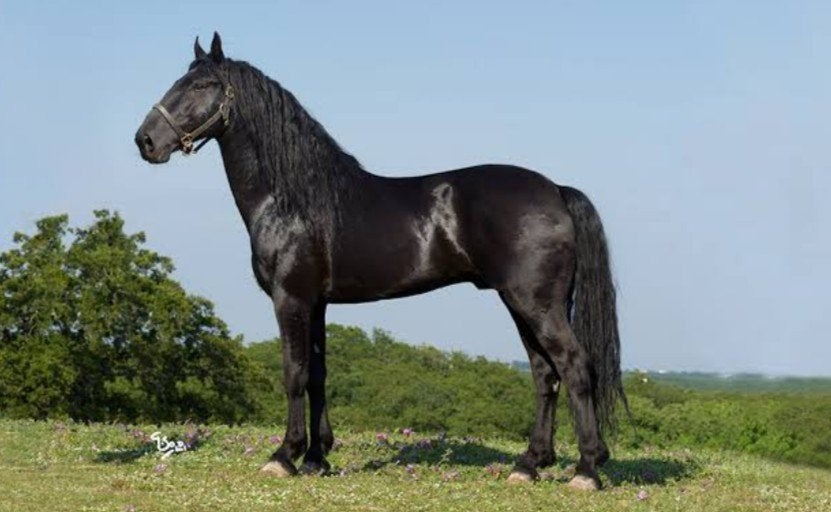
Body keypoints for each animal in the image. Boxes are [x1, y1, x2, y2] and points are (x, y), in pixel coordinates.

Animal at [135, 32, 626, 490]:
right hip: (520, 302)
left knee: (574, 366)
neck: (292, 198)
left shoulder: (290, 299)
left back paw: (587, 469)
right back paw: (529, 465)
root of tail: (556, 190)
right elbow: (318, 375)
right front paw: (317, 458)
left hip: (535, 302)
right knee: (545, 374)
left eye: (202, 85)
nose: (145, 140)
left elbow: (294, 374)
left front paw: (284, 456)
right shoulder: (318, 304)